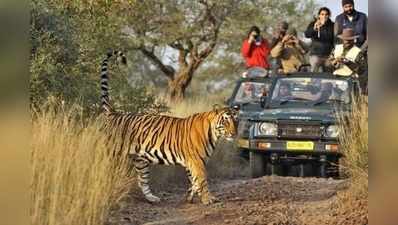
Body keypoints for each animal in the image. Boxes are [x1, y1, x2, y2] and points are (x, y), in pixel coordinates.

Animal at [99, 50, 236, 205]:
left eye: (236, 120)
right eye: (226, 121)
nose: (234, 133)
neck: (214, 134)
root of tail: (113, 113)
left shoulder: (192, 161)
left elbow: (194, 181)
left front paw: (189, 197)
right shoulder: (196, 160)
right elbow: (201, 179)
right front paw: (208, 199)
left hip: (141, 160)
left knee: (142, 180)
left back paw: (152, 198)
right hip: (113, 153)